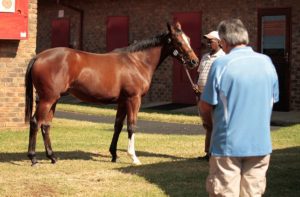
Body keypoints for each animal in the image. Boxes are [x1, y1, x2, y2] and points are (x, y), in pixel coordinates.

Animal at [25, 21, 199, 166]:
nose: (194, 61)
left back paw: (52, 157)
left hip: (53, 100)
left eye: (189, 39)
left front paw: (114, 154)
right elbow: (131, 126)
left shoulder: (122, 101)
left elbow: (118, 126)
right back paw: (33, 157)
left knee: (46, 125)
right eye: (179, 42)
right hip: (47, 99)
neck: (137, 62)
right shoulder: (133, 100)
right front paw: (134, 157)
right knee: (35, 122)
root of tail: (38, 57)